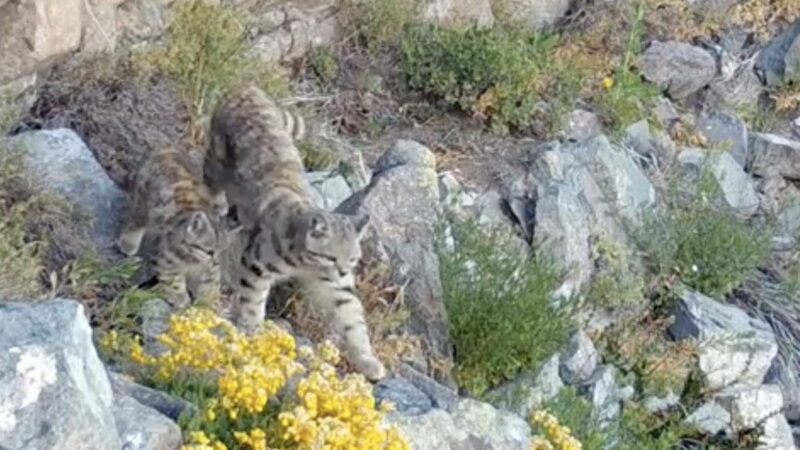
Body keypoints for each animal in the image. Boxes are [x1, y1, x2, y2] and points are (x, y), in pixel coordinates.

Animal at [119, 146, 225, 308]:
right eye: (208, 251)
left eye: (221, 252)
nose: (216, 261)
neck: (193, 261)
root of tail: (167, 149)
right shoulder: (165, 262)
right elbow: (173, 282)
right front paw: (182, 300)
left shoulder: (209, 272)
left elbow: (210, 286)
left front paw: (208, 305)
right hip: (142, 202)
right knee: (135, 221)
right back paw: (128, 244)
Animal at [203, 85, 384, 380]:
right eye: (331, 257)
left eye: (353, 259)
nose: (343, 272)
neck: (303, 264)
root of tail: (249, 89)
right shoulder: (256, 264)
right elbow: (253, 301)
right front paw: (251, 330)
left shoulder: (338, 288)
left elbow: (353, 320)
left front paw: (368, 361)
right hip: (215, 160)